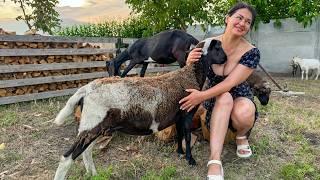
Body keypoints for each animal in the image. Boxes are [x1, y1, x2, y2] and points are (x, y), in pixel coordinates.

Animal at [53, 38, 228, 179]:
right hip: (92, 124)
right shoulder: (187, 112)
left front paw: (179, 153)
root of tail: (86, 89)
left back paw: (94, 174)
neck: (191, 74)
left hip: (95, 126)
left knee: (86, 152)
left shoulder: (178, 115)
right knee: (67, 157)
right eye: (218, 49)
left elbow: (179, 135)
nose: (226, 58)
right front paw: (190, 160)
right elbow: (186, 135)